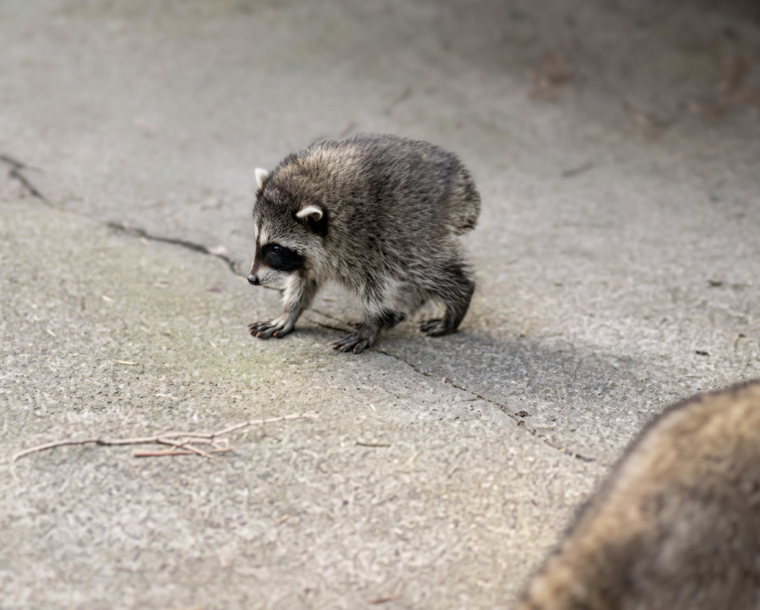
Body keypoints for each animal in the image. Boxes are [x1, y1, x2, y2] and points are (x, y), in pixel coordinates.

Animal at [246, 134, 480, 354]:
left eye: (276, 248)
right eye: (258, 241)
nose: (251, 279)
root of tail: (462, 182)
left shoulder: (368, 241)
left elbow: (377, 286)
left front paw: (371, 322)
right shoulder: (313, 257)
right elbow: (306, 279)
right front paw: (290, 311)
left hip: (414, 230)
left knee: (426, 268)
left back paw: (459, 296)